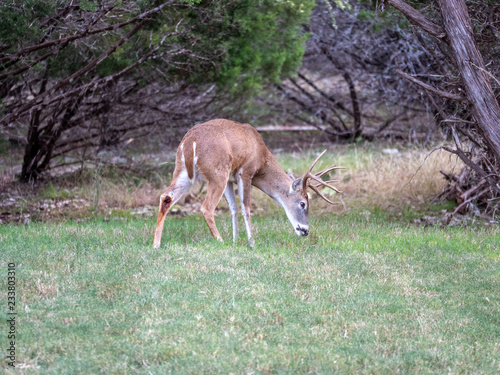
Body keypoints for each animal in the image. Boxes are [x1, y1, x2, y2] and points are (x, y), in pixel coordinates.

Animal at [152, 119, 342, 248]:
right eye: (303, 203)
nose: (305, 230)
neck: (262, 158)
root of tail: (190, 141)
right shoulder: (246, 172)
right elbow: (246, 207)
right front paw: (251, 242)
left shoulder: (231, 179)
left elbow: (233, 208)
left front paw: (236, 240)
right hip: (217, 172)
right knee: (206, 207)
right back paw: (220, 241)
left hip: (183, 170)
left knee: (166, 197)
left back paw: (156, 244)